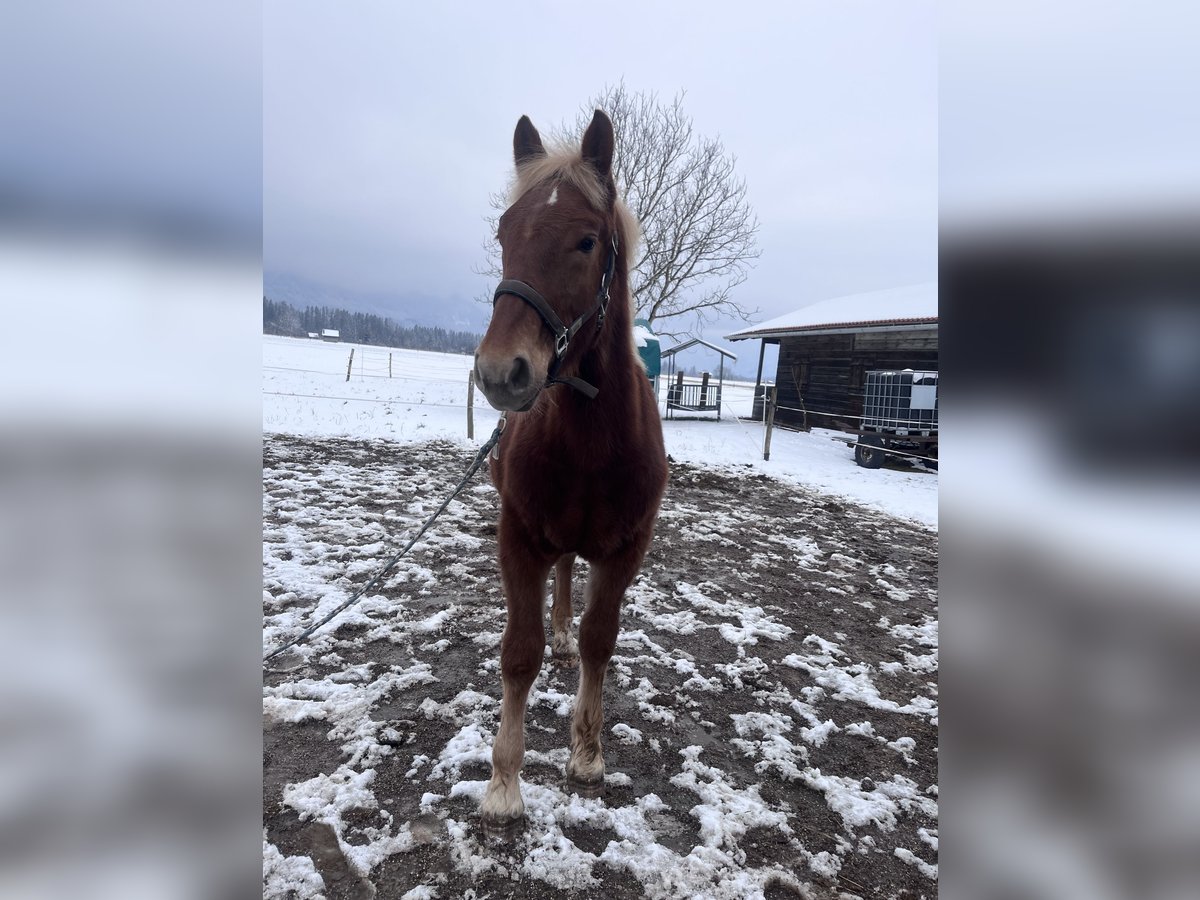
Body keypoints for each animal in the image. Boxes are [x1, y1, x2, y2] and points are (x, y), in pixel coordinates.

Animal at [472, 109, 672, 835]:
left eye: (587, 241)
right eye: (505, 233)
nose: (500, 373)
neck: (590, 440)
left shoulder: (626, 549)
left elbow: (599, 640)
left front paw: (587, 753)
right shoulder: (519, 538)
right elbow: (521, 651)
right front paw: (504, 784)